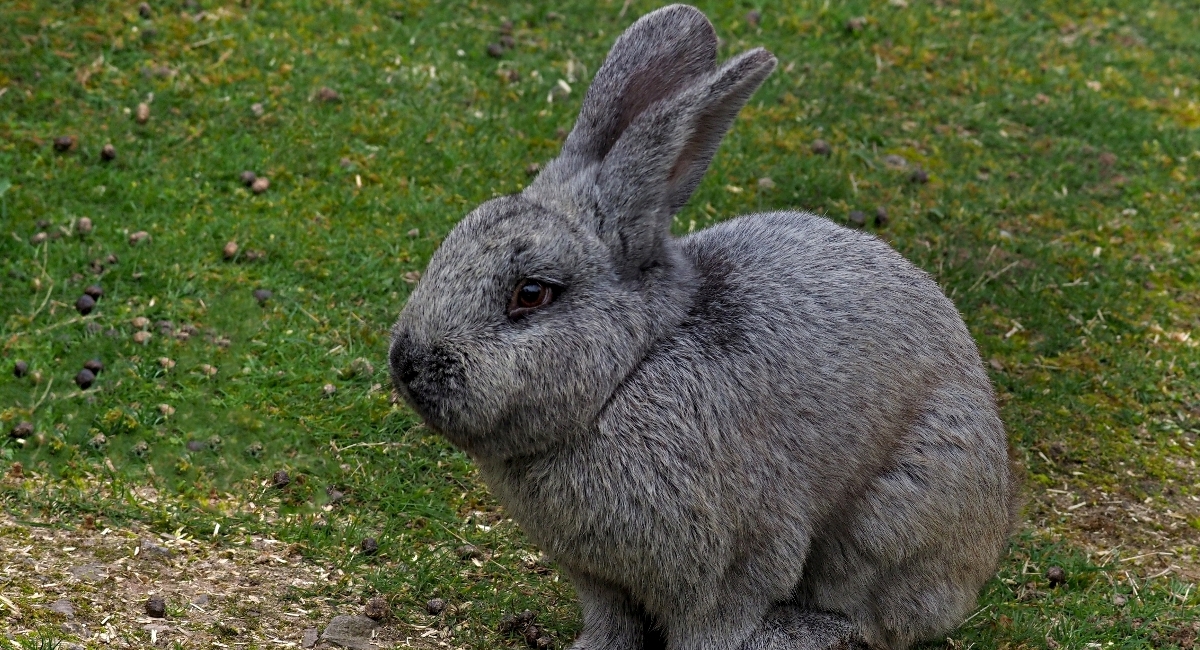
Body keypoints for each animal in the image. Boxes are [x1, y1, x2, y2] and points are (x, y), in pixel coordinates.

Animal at [388, 5, 1017, 650]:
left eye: (530, 294)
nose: (407, 364)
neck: (631, 370)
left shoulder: (734, 561)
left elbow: (717, 620)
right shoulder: (600, 580)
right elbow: (612, 622)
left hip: (894, 514)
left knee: (873, 612)